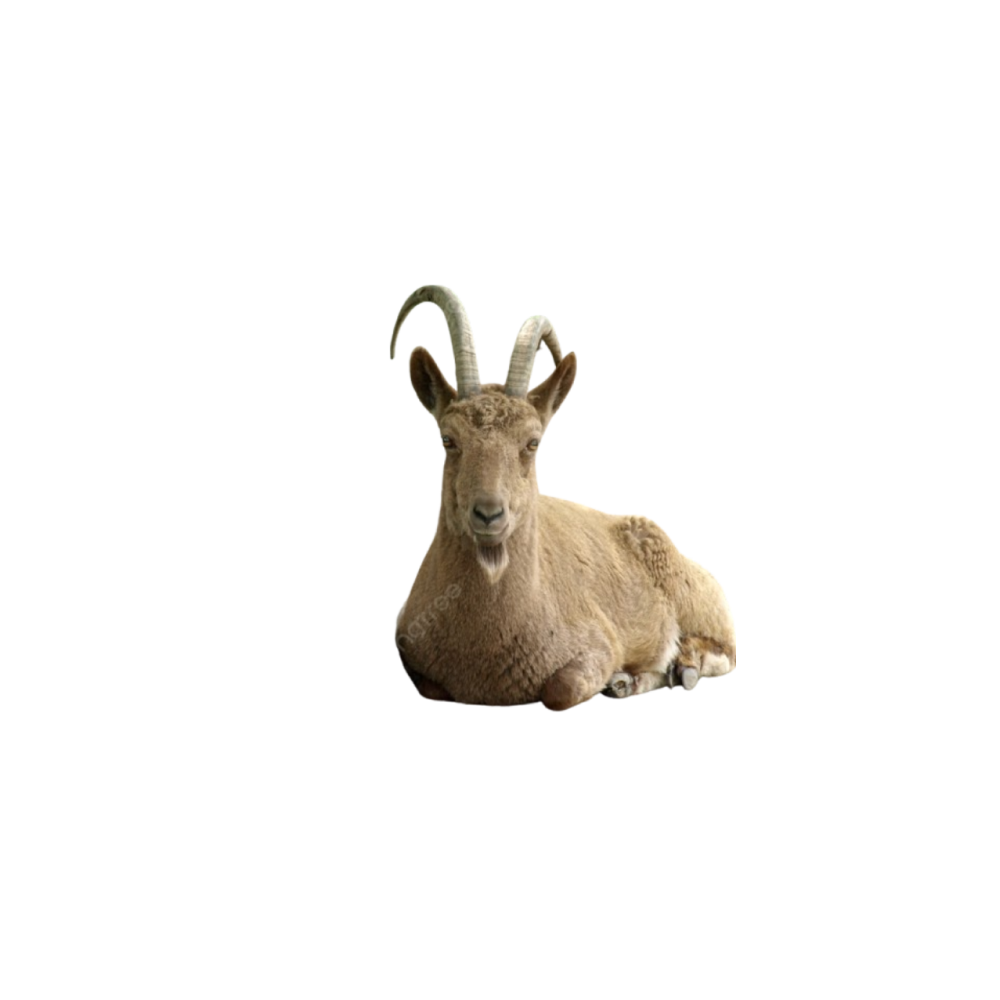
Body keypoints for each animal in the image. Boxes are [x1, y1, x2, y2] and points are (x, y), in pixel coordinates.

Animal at [391, 285, 735, 710]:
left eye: (532, 441)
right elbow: (431, 687)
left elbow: (561, 689)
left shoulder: (598, 643)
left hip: (697, 604)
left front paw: (620, 676)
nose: (488, 515)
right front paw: (621, 680)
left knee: (725, 652)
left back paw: (681, 666)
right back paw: (630, 681)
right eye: (448, 438)